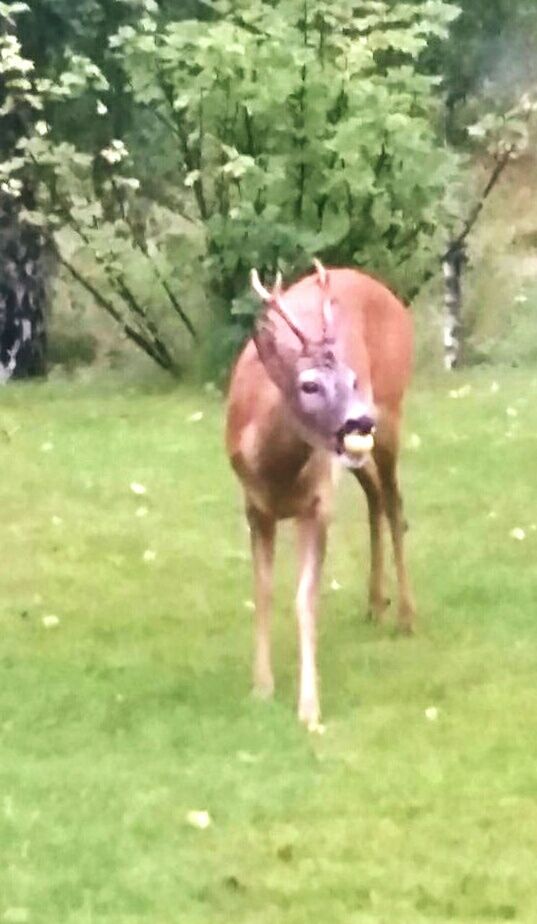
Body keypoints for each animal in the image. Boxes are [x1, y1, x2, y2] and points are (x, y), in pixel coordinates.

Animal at [226, 260, 414, 728]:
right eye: (309, 385)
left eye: (352, 378)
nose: (362, 420)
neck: (276, 473)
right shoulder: (255, 506)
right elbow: (263, 592)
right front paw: (261, 688)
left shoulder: (317, 504)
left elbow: (305, 600)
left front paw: (309, 708)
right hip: (352, 457)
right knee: (376, 498)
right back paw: (375, 604)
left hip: (392, 412)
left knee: (395, 504)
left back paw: (405, 616)